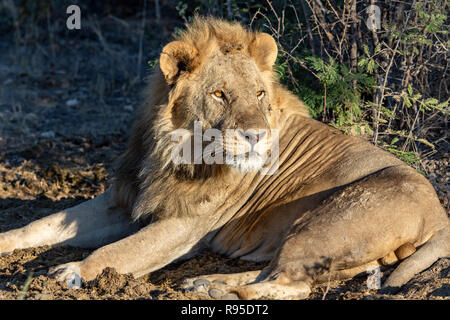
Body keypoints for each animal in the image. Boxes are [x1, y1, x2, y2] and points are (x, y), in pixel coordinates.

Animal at [0, 16, 450, 298]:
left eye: (259, 94)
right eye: (219, 94)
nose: (256, 136)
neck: (170, 149)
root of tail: (439, 213)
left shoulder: (184, 226)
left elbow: (117, 253)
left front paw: (71, 272)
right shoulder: (124, 201)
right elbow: (39, 225)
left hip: (327, 220)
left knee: (293, 284)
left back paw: (215, 289)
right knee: (284, 271)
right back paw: (206, 283)